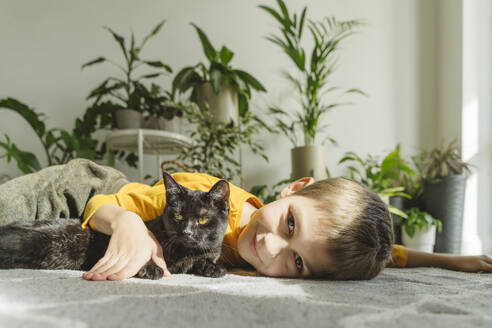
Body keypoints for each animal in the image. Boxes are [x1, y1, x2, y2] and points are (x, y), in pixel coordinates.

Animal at [0, 172, 231, 280]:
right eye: (178, 216)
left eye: (202, 219)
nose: (187, 232)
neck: (185, 253)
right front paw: (151, 268)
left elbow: (204, 260)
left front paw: (214, 268)